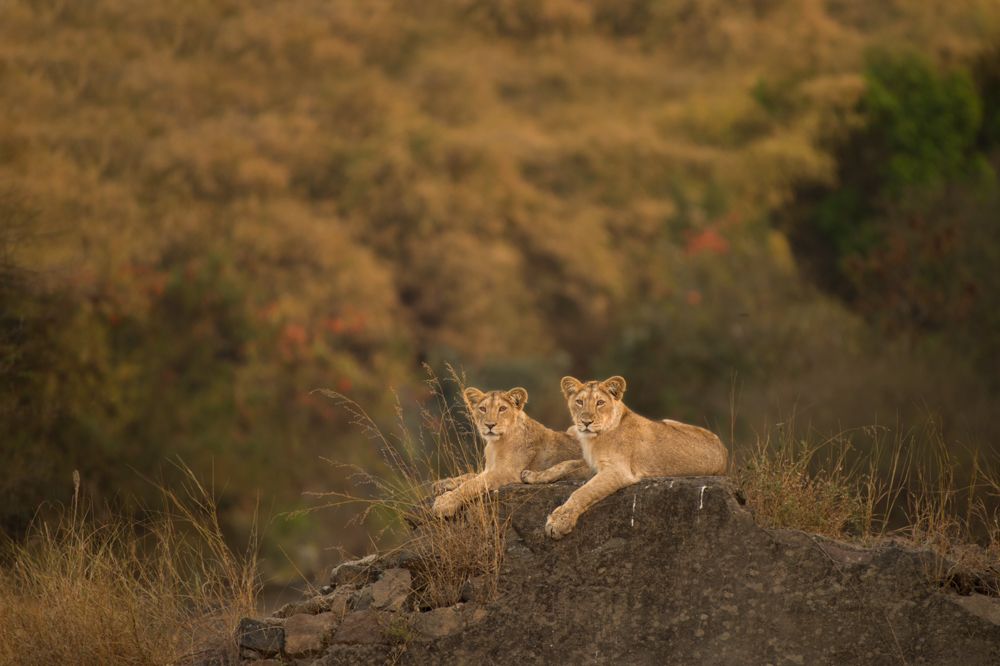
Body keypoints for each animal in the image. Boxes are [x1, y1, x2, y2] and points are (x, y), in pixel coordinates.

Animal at [431, 386, 588, 518]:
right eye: (482, 409)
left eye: (502, 408)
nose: (489, 425)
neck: (495, 444)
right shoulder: (490, 468)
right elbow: (469, 476)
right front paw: (443, 483)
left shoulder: (506, 472)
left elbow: (472, 484)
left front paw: (444, 503)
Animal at [522, 375, 728, 539]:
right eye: (579, 402)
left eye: (600, 403)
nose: (586, 422)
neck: (593, 439)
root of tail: (724, 450)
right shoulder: (592, 465)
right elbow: (565, 464)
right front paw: (532, 475)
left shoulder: (617, 470)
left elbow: (582, 492)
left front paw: (558, 523)